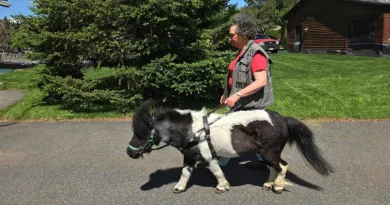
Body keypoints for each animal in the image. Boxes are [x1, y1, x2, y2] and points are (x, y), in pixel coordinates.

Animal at [126, 101, 334, 194]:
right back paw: (269, 184)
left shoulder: (208, 157)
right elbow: (185, 173)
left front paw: (222, 186)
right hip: (266, 153)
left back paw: (278, 186)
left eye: (141, 133)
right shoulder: (190, 157)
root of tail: (282, 119)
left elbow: (217, 171)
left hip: (269, 152)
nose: (129, 152)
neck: (194, 131)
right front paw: (179, 187)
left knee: (282, 166)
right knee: (273, 168)